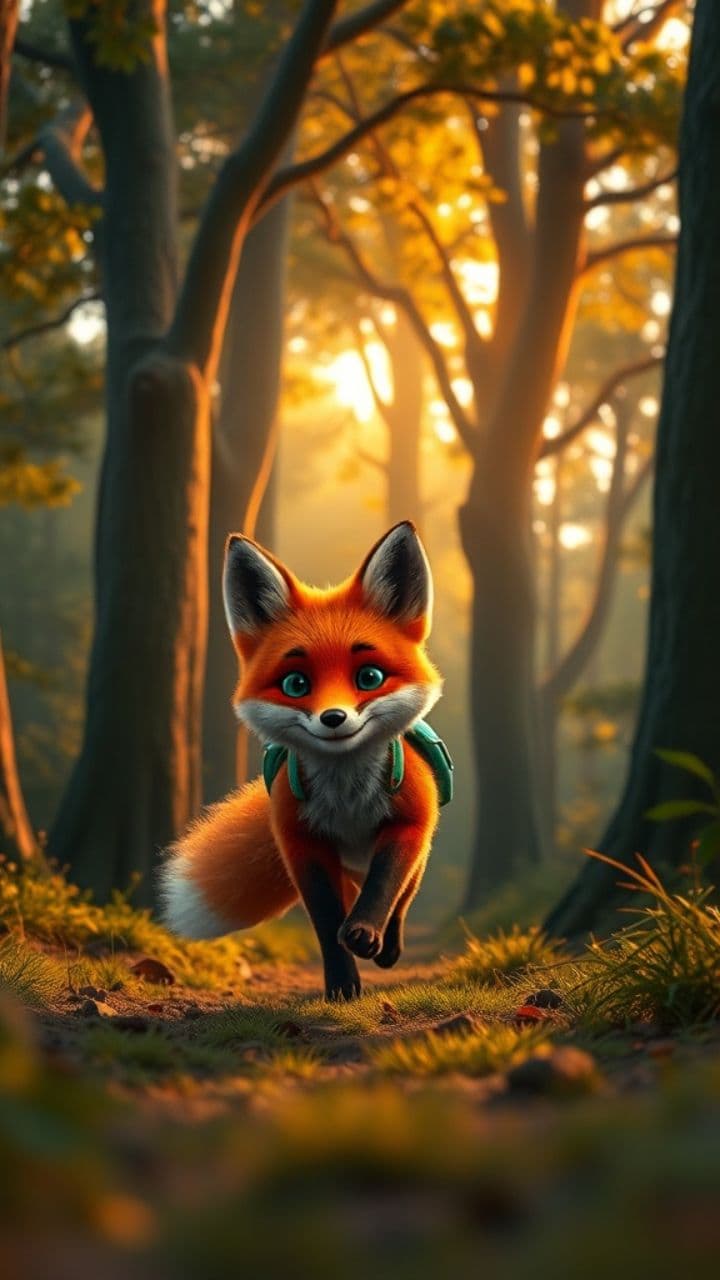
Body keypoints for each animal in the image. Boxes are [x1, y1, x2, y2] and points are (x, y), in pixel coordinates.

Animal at [160, 521, 452, 1001]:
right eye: (296, 684)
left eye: (369, 677)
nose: (333, 717)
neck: (348, 800)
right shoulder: (302, 843)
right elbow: (327, 922)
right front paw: (342, 984)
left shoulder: (407, 824)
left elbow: (384, 888)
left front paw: (367, 933)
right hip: (343, 866)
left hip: (417, 853)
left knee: (402, 897)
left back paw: (388, 945)